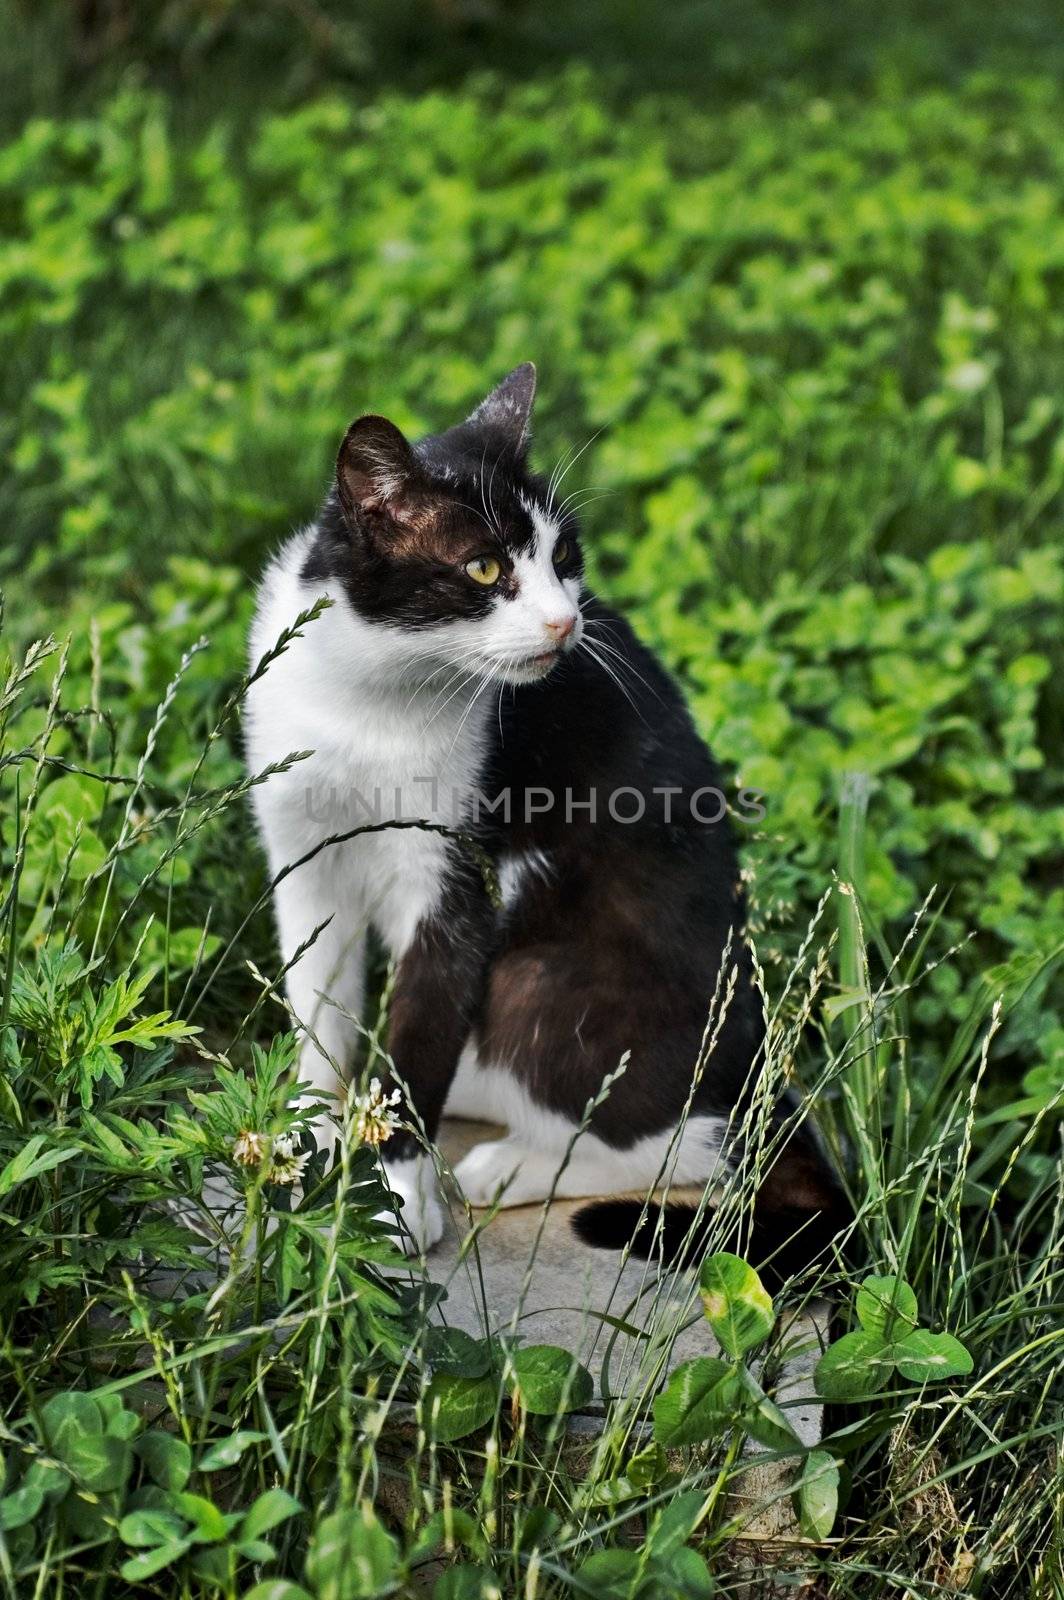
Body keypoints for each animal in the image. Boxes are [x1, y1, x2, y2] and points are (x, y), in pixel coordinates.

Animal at [243, 368, 844, 1280]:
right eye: (485, 565)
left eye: (564, 559)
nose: (567, 621)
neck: (373, 698)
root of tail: (762, 1074)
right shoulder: (303, 852)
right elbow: (321, 1008)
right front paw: (309, 1133)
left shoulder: (457, 874)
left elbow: (418, 1039)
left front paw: (395, 1197)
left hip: (547, 984)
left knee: (703, 1143)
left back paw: (509, 1166)